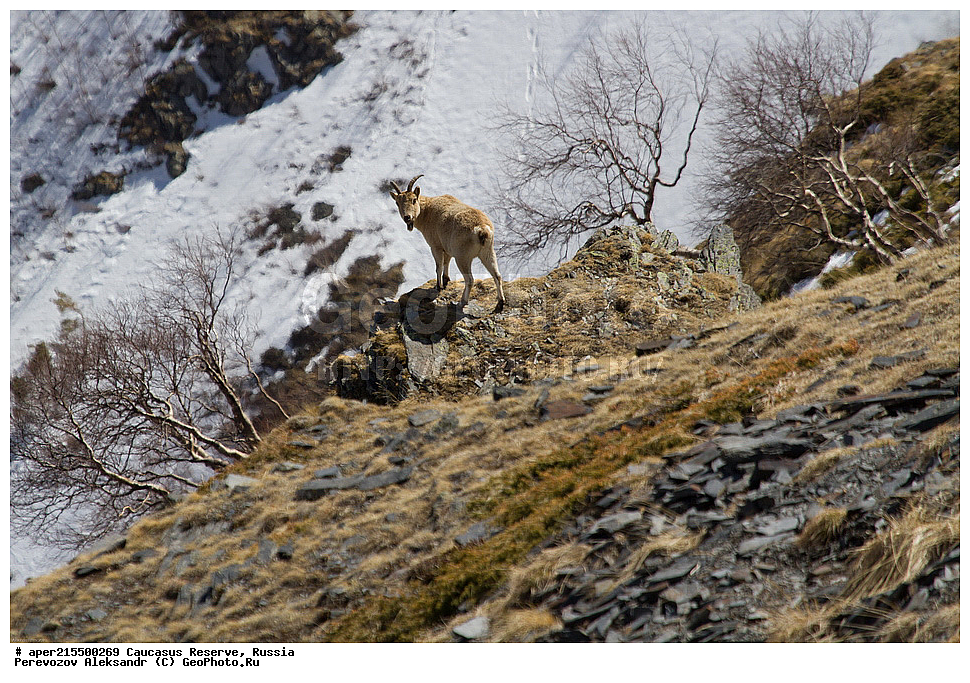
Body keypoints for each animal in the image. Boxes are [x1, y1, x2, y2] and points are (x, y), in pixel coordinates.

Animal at [389, 174, 506, 313]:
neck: (426, 212)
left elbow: (438, 266)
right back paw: (500, 304)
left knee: (470, 279)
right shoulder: (448, 248)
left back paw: (462, 302)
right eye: (397, 202)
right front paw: (445, 281)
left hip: (463, 257)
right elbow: (446, 262)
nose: (407, 217)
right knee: (497, 275)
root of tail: (482, 229)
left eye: (413, 200)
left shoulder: (436, 246)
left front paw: (438, 286)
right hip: (487, 252)